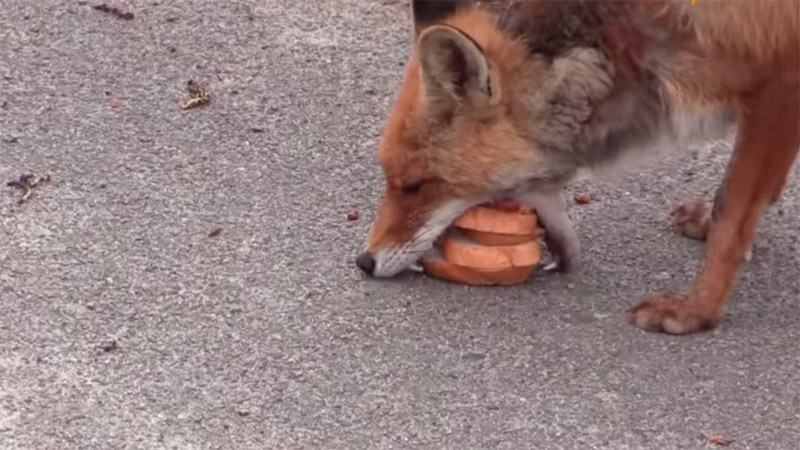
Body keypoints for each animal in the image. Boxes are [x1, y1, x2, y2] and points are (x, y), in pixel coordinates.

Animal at [356, 0, 800, 334]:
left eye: (414, 185)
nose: (365, 262)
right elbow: (746, 196)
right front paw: (711, 226)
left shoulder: (779, 82)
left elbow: (731, 219)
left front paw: (697, 312)